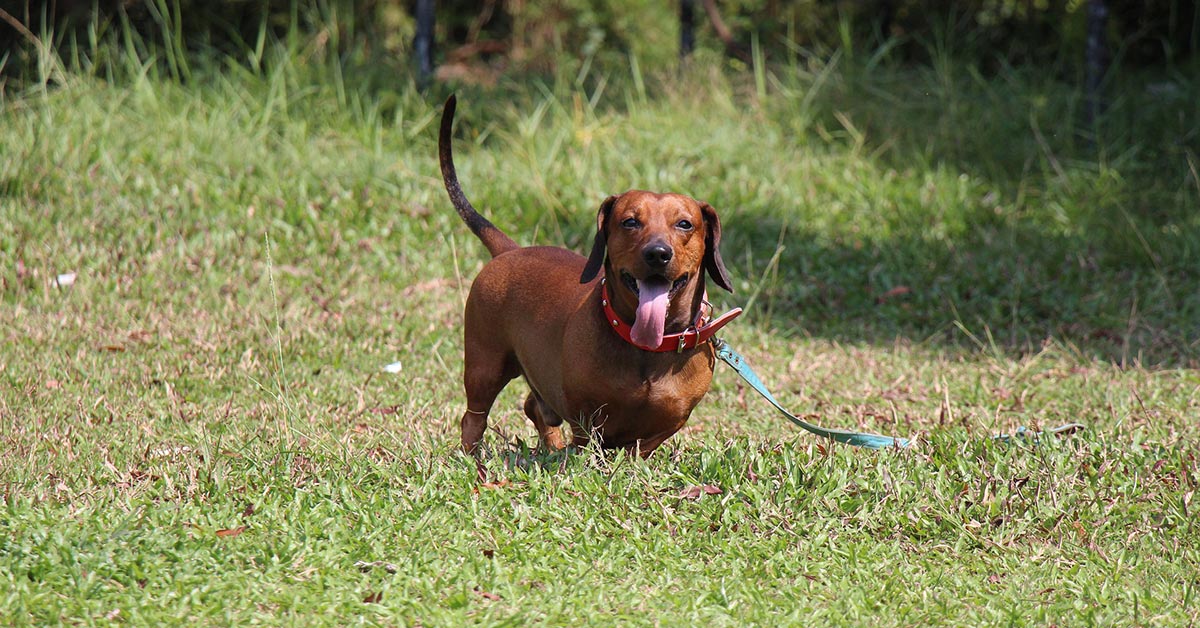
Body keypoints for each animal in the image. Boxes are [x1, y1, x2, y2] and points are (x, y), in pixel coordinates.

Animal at [441, 94, 739, 456]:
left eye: (685, 224)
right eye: (630, 221)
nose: (657, 254)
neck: (647, 348)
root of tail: (510, 250)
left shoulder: (660, 430)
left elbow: (639, 449)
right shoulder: (586, 422)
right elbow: (587, 444)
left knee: (534, 407)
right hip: (485, 367)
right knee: (474, 419)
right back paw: (474, 458)